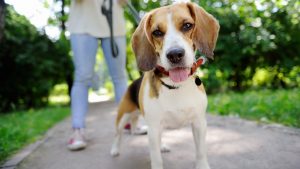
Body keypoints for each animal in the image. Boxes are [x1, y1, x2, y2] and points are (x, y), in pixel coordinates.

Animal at [110, 2, 218, 169]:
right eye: (157, 32)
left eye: (187, 25)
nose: (175, 54)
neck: (176, 86)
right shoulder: (153, 127)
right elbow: (156, 159)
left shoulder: (199, 123)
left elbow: (200, 152)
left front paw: (202, 165)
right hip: (124, 116)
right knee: (118, 134)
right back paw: (115, 149)